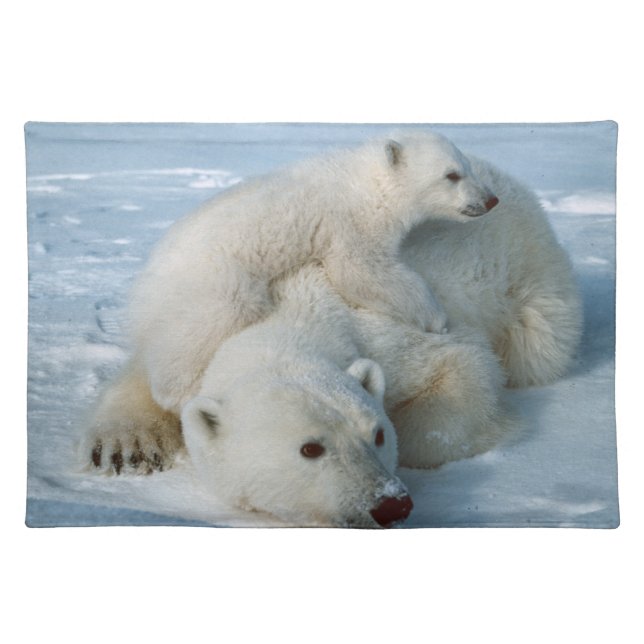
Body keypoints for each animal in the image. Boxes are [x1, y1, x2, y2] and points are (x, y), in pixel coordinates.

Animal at [127, 131, 499, 413]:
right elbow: (361, 270)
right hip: (212, 280)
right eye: (452, 175)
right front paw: (437, 318)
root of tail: (143, 288)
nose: (490, 200)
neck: (369, 182)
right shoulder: (351, 221)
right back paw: (180, 392)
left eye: (468, 166)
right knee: (209, 323)